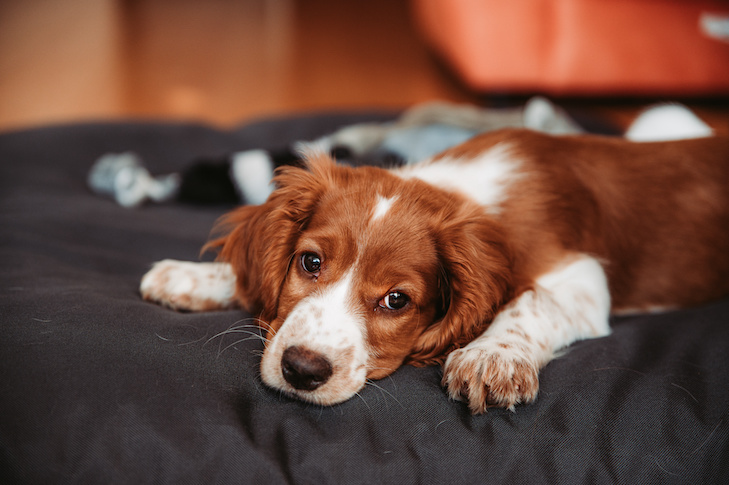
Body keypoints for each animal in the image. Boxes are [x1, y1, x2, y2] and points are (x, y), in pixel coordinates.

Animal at [141, 109, 728, 412]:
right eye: (309, 262)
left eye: (397, 300)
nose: (301, 370)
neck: (465, 193)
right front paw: (196, 276)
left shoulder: (582, 278)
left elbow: (530, 301)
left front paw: (492, 356)